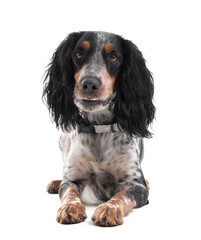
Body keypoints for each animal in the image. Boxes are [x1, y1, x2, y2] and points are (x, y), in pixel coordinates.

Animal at [43, 31, 155, 227]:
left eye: (114, 57)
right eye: (79, 54)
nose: (89, 83)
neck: (99, 128)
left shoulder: (136, 184)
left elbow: (122, 195)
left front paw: (109, 209)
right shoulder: (72, 178)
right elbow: (69, 192)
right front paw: (70, 208)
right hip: (63, 139)